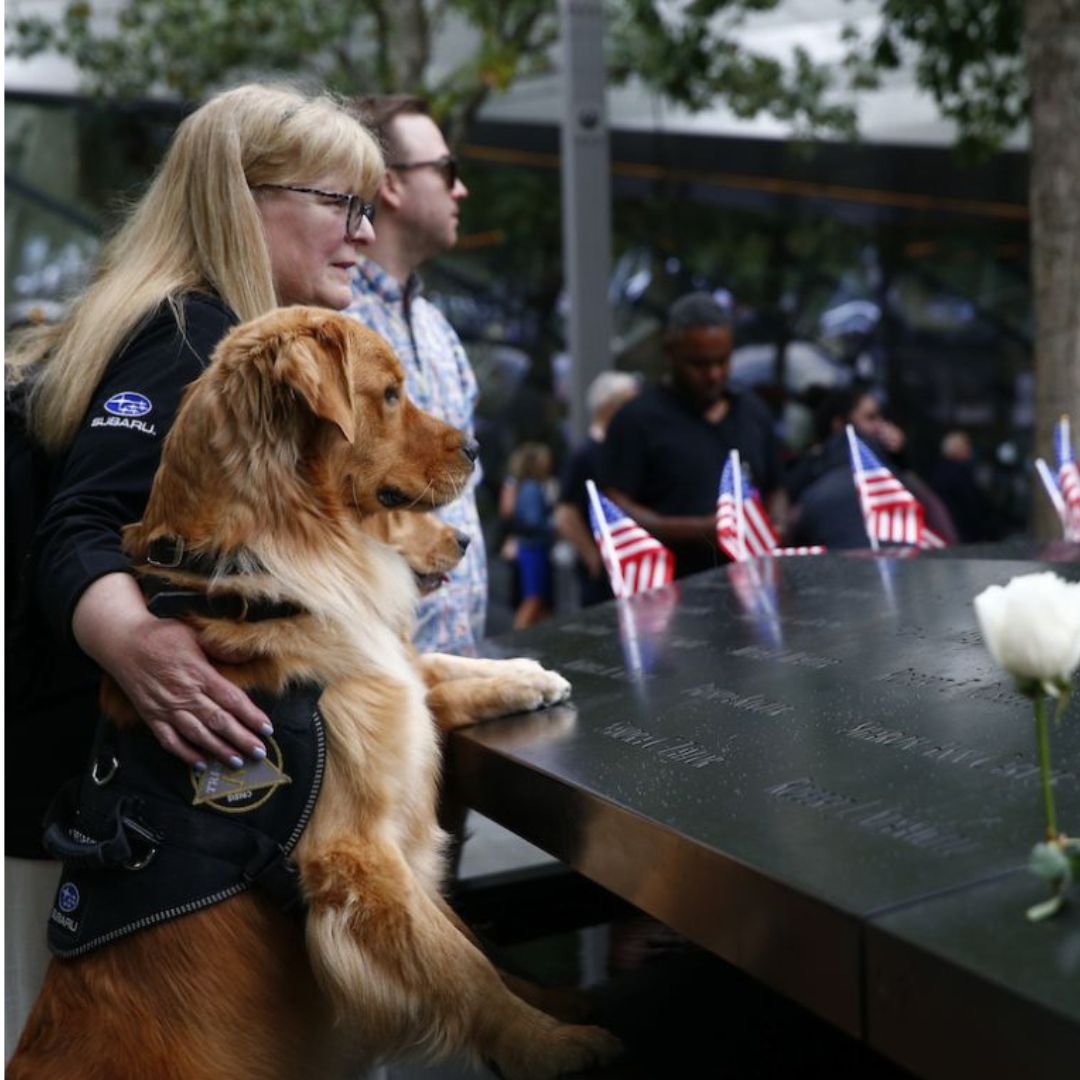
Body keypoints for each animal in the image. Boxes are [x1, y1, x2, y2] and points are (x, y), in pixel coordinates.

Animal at [8, 308, 622, 1080]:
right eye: (390, 393)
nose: (480, 446)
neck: (265, 570)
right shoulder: (353, 852)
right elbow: (459, 964)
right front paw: (550, 1045)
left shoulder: (386, 692)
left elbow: (462, 930)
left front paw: (527, 678)